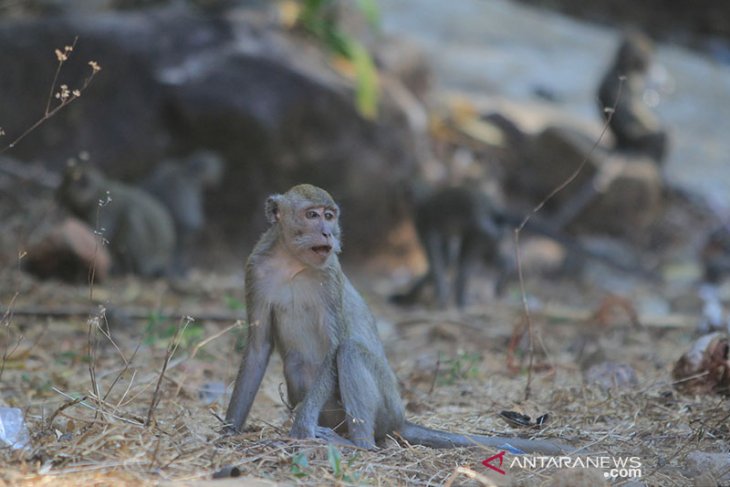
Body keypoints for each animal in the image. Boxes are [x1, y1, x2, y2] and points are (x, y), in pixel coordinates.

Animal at [225, 185, 564, 456]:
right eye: (312, 215)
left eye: (329, 216)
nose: (328, 233)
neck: (292, 262)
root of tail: (401, 418)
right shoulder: (255, 268)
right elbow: (258, 348)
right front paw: (227, 430)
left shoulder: (329, 274)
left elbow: (335, 347)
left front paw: (302, 424)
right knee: (298, 367)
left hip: (386, 407)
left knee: (349, 352)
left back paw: (357, 444)